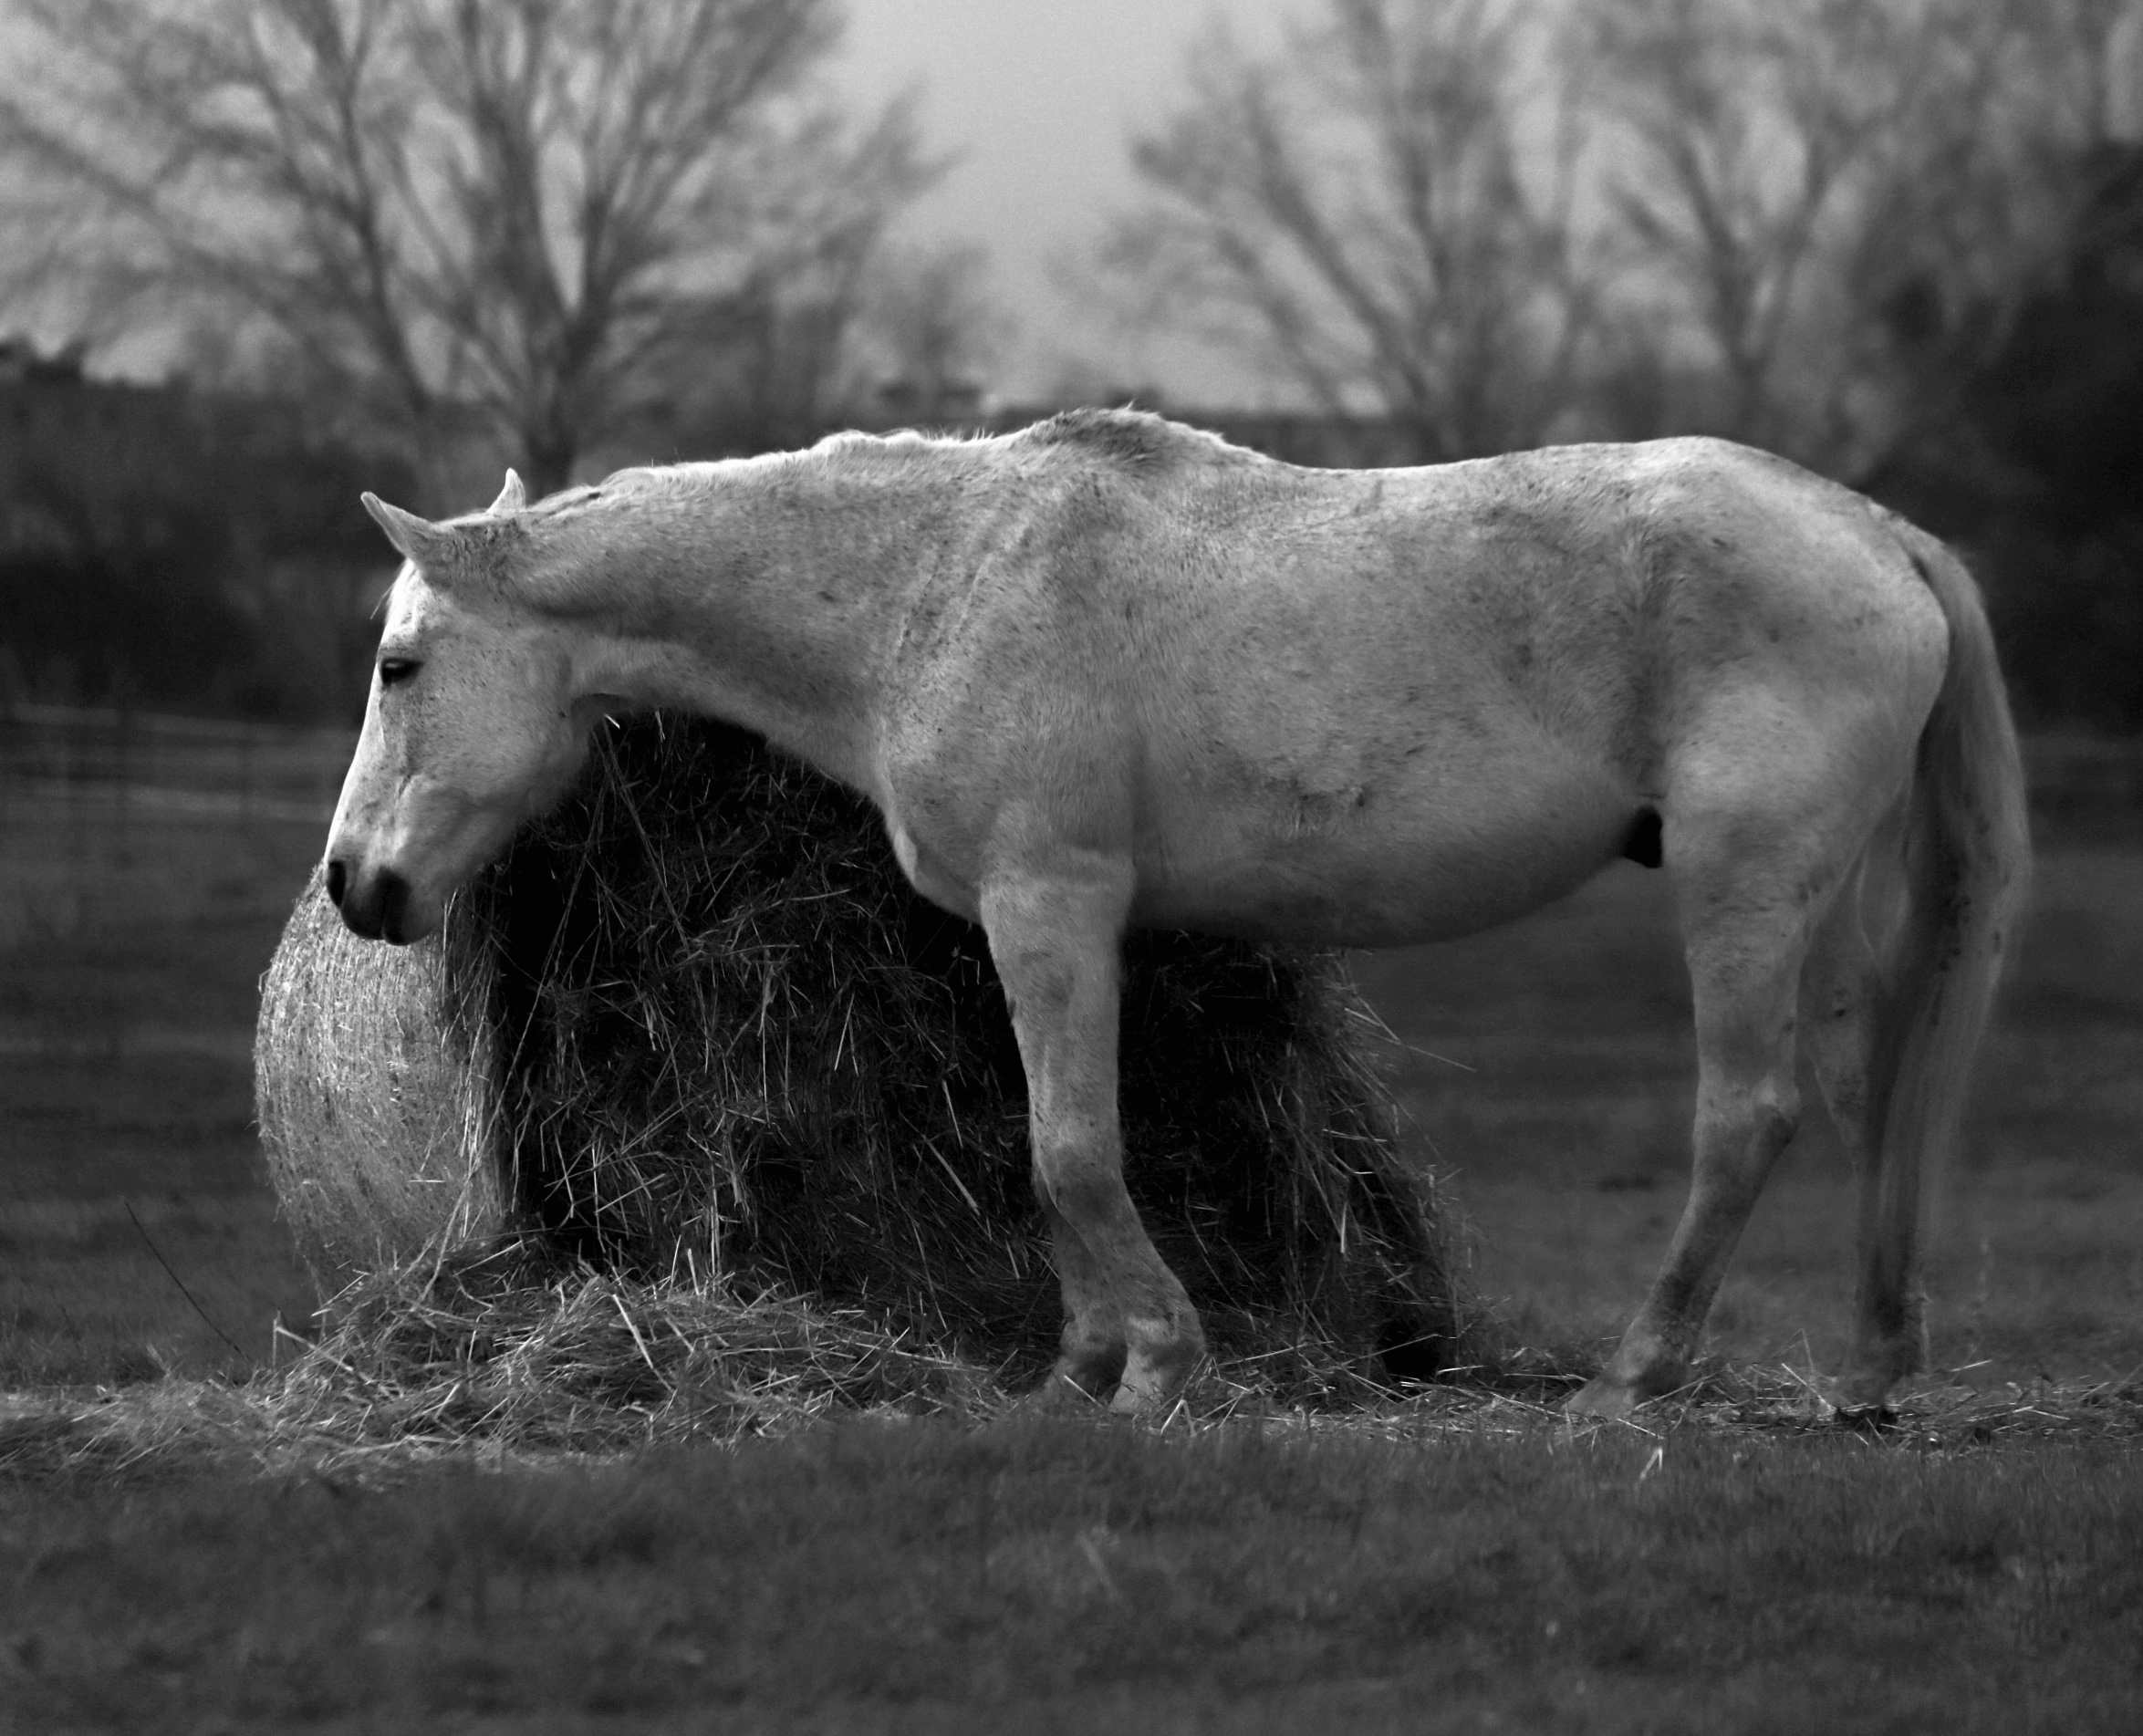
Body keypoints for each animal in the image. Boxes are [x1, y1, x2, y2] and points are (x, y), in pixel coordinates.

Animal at [324, 409, 2029, 1419]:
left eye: (399, 664)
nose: (356, 883)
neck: (928, 586)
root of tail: (1873, 530)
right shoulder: (1035, 929)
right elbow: (1051, 1144)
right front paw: (1079, 1362)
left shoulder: (1051, 902)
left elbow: (1072, 1147)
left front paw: (1152, 1358)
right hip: (1829, 905)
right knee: (1872, 1100)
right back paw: (1871, 1368)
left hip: (1745, 891)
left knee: (1746, 1114)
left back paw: (1639, 1371)